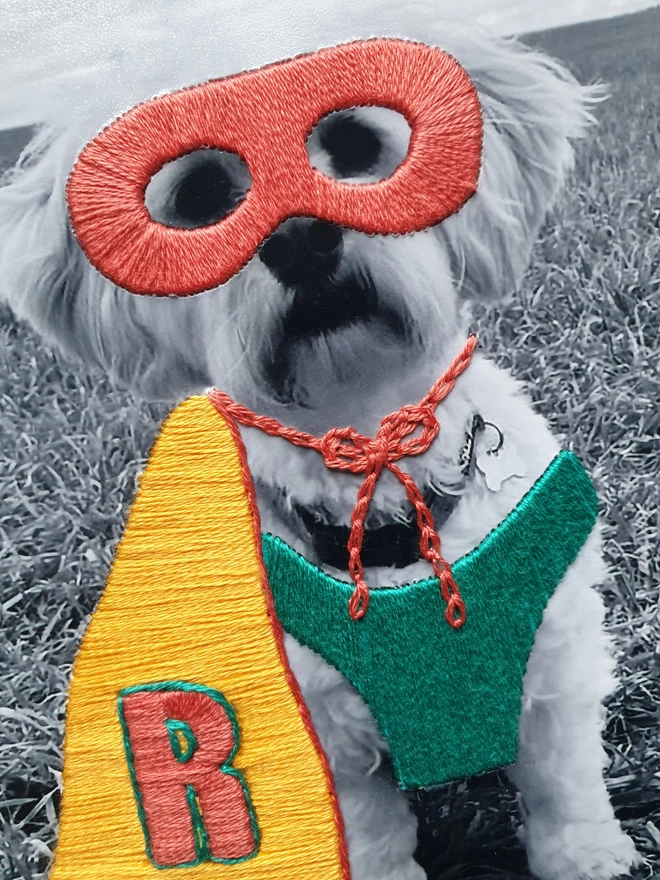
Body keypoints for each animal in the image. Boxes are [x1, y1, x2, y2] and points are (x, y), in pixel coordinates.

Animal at [0, 1, 640, 880]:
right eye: (201, 196)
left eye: (356, 145)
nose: (301, 236)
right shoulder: (319, 738)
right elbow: (369, 837)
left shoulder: (554, 658)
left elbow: (562, 786)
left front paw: (587, 856)